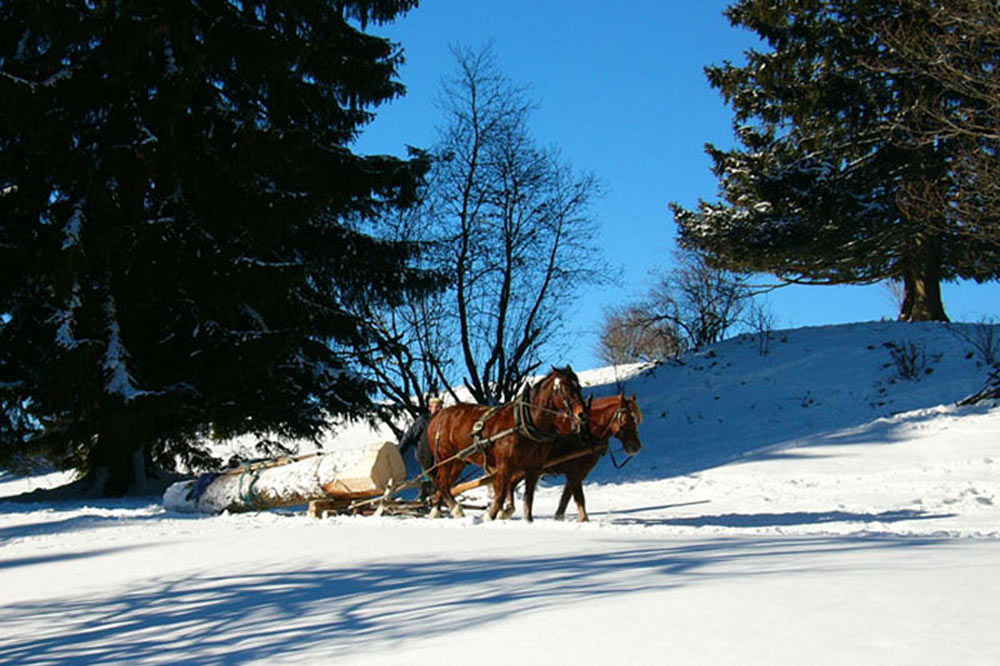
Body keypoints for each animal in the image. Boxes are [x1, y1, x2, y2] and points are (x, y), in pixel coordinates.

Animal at [426, 366, 588, 520]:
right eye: (567, 388)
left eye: (579, 387)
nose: (582, 414)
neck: (523, 422)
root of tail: (438, 416)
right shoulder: (505, 465)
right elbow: (501, 494)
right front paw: (490, 516)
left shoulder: (534, 468)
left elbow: (528, 498)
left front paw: (527, 520)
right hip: (445, 457)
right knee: (442, 483)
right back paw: (455, 509)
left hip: (459, 461)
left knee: (444, 483)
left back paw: (436, 509)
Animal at [504, 392, 644, 520]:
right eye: (625, 420)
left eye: (637, 419)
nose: (635, 447)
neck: (584, 433)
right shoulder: (574, 473)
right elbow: (579, 498)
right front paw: (583, 519)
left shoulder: (579, 473)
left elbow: (566, 497)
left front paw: (559, 517)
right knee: (510, 483)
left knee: (511, 483)